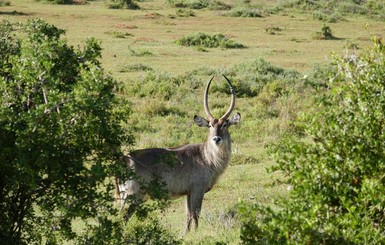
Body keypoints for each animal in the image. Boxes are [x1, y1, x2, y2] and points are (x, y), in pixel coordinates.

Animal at [115, 74, 240, 232]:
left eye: (224, 124)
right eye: (210, 125)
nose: (216, 139)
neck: (207, 157)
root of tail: (125, 159)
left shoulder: (188, 192)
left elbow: (188, 216)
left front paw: (186, 234)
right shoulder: (197, 190)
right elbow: (196, 215)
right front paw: (196, 233)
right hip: (133, 197)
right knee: (122, 218)